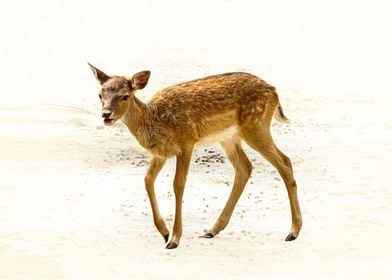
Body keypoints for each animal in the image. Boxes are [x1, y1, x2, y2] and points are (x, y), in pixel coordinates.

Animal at [89, 64, 304, 249]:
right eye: (100, 94)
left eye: (125, 96)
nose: (106, 114)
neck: (156, 121)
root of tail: (274, 92)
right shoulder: (160, 153)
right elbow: (147, 180)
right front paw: (164, 232)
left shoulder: (186, 143)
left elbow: (178, 184)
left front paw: (174, 239)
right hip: (229, 137)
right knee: (245, 167)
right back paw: (212, 230)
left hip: (255, 125)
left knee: (284, 162)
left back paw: (293, 232)